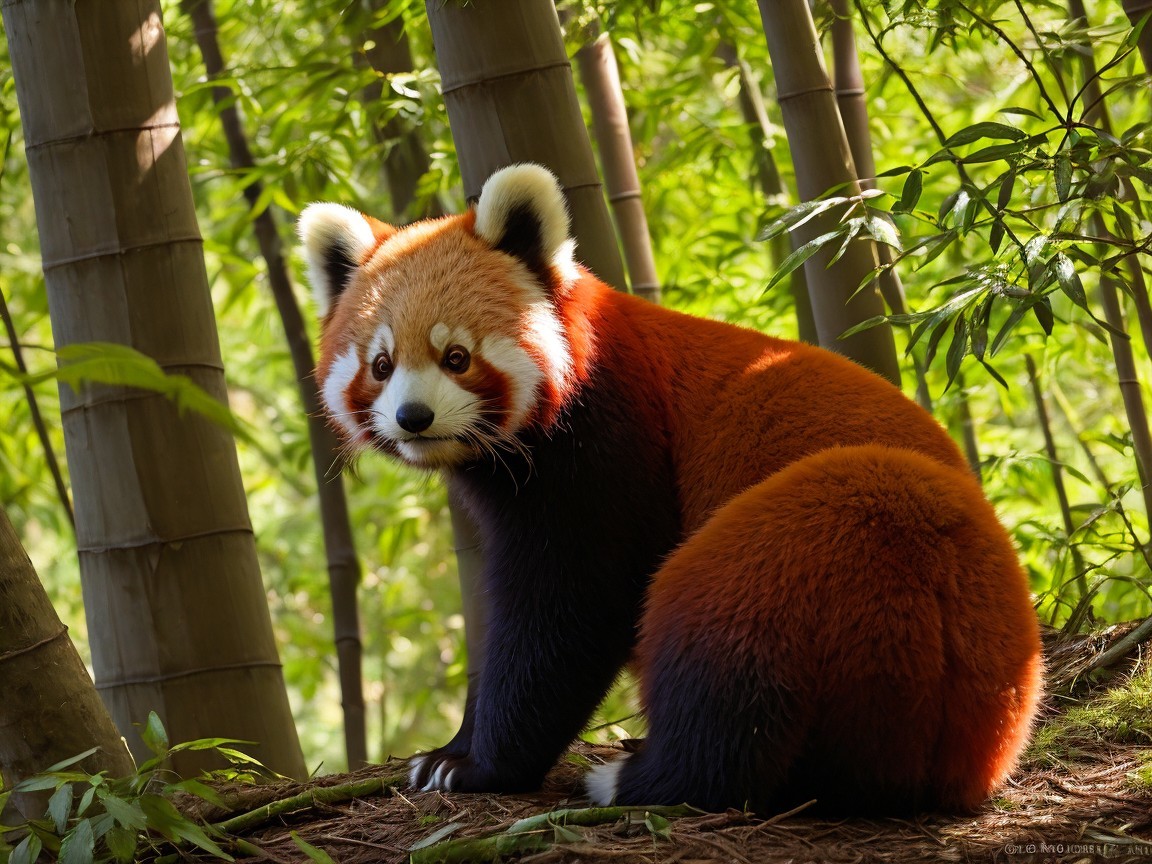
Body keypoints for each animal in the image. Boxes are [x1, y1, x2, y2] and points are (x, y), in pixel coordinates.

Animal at [298, 163, 1042, 815]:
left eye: (456, 357)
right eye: (381, 365)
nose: (413, 417)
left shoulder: (610, 445)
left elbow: (570, 608)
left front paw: (480, 766)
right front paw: (449, 749)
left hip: (829, 535)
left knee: (718, 621)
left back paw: (640, 779)